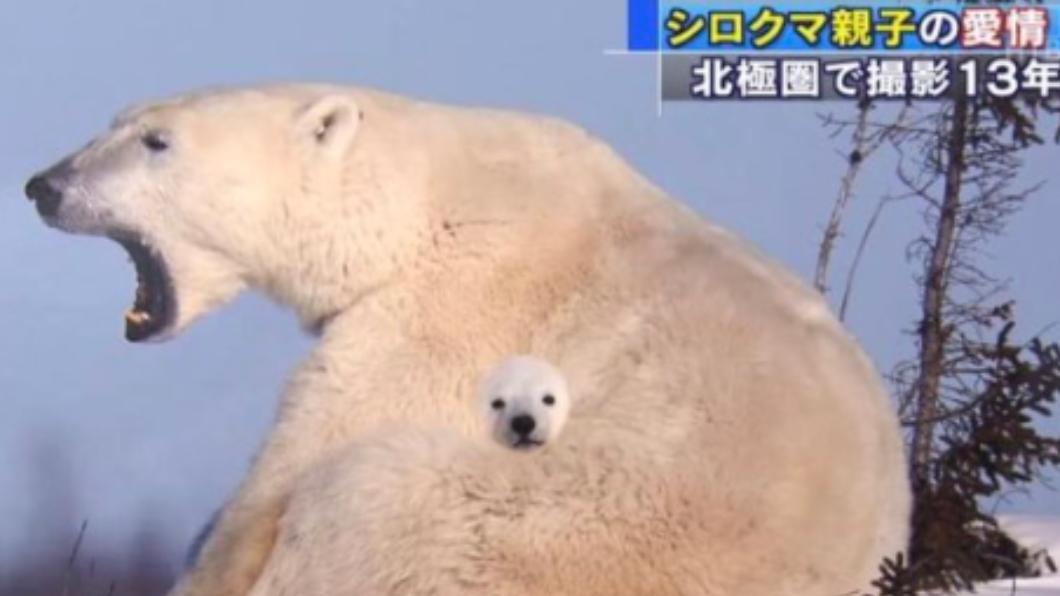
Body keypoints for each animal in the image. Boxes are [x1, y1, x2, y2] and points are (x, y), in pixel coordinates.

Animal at [25, 83, 910, 596]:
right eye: (115, 122)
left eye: (157, 141)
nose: (43, 185)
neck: (426, 199)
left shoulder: (452, 308)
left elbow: (297, 465)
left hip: (536, 533)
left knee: (365, 493)